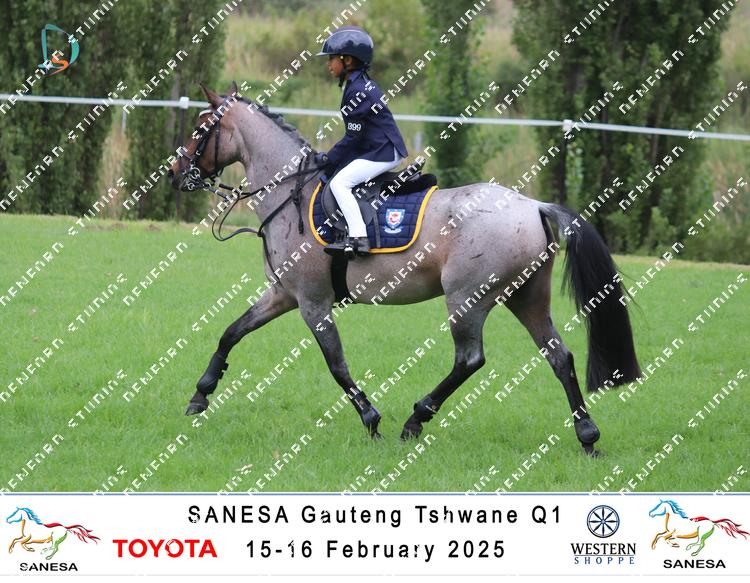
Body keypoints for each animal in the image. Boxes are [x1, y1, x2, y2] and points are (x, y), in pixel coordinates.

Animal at [167, 82, 642, 456]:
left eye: (200, 130)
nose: (174, 174)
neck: (291, 195)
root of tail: (533, 205)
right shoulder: (284, 295)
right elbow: (231, 332)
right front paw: (200, 395)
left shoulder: (312, 303)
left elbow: (337, 364)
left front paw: (371, 419)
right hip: (527, 298)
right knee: (559, 356)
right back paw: (587, 436)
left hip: (468, 299)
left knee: (470, 359)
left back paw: (416, 419)